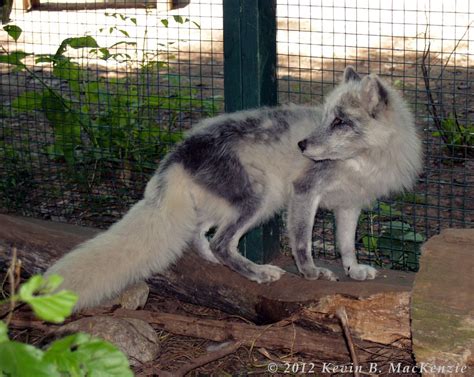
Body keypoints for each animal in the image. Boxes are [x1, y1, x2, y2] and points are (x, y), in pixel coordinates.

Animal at [44, 67, 422, 308]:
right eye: (326, 117)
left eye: (340, 121)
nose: (301, 146)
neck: (363, 161)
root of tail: (179, 150)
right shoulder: (304, 192)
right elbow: (302, 242)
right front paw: (311, 272)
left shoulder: (349, 206)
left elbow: (346, 245)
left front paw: (353, 270)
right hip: (262, 199)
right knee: (222, 242)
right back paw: (256, 272)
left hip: (235, 204)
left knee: (202, 235)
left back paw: (216, 261)